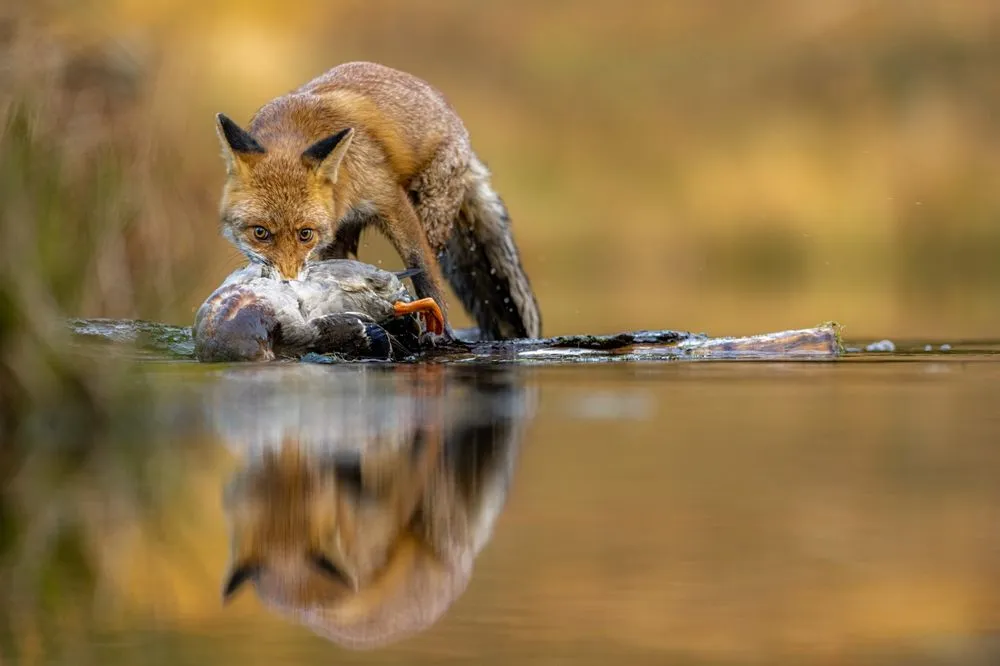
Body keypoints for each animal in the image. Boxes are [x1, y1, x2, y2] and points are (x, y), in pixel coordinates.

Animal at [214, 61, 541, 340]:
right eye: (260, 233)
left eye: (305, 234)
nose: (287, 283)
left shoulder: (390, 200)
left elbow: (424, 271)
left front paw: (439, 332)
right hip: (341, 238)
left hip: (430, 213)